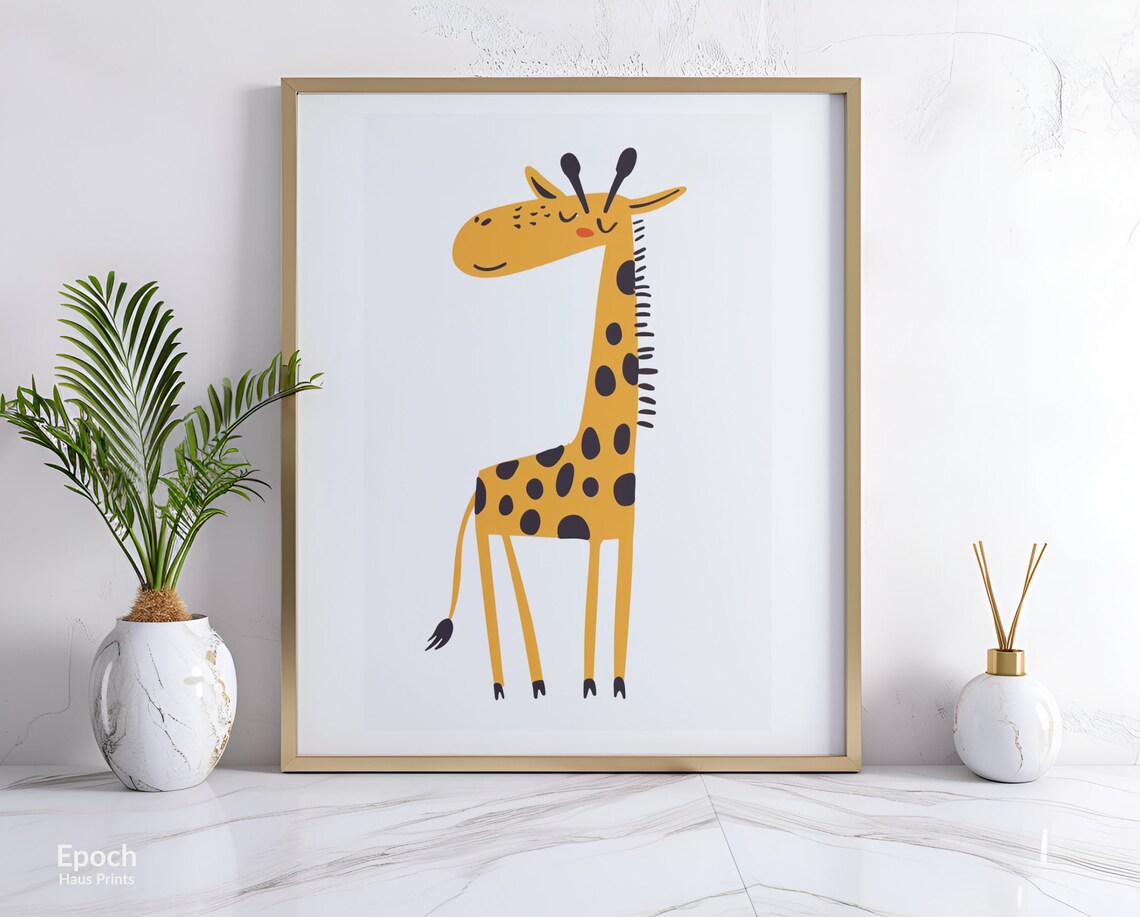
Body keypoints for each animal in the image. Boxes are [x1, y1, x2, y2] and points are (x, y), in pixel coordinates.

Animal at [425, 148, 686, 701]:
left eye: (578, 218)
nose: (472, 234)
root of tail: (477, 481)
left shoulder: (620, 537)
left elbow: (615, 610)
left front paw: (613, 685)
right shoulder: (592, 537)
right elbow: (590, 609)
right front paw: (589, 685)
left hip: (501, 528)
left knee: (511, 575)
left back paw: (538, 681)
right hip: (488, 527)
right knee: (492, 588)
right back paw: (505, 686)